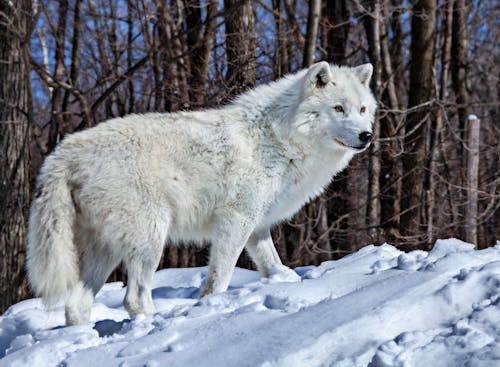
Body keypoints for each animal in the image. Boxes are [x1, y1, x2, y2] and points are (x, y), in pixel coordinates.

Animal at [27, 61, 376, 326]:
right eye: (338, 108)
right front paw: (210, 307)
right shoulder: (236, 220)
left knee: (76, 305)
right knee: (134, 298)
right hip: (150, 239)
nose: (367, 135)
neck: (280, 138)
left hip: (107, 250)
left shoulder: (257, 227)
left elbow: (273, 266)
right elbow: (218, 278)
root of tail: (63, 155)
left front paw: (288, 285)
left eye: (362, 109)